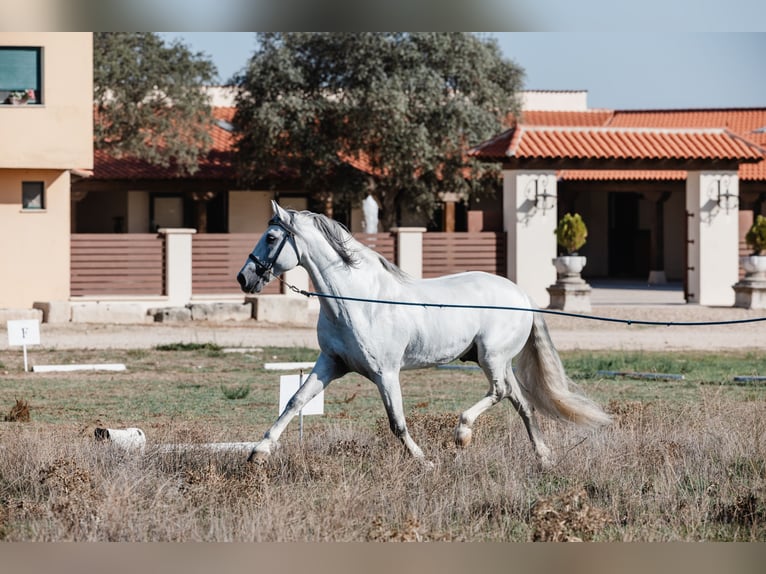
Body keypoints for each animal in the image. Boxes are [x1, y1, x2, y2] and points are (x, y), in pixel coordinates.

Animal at [240, 202, 612, 468]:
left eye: (271, 238)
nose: (244, 278)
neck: (358, 301)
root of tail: (521, 295)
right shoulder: (330, 364)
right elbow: (295, 401)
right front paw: (259, 452)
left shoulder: (386, 373)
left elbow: (397, 422)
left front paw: (424, 461)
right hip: (497, 360)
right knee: (521, 403)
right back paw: (544, 457)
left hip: (491, 357)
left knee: (501, 392)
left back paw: (462, 434)